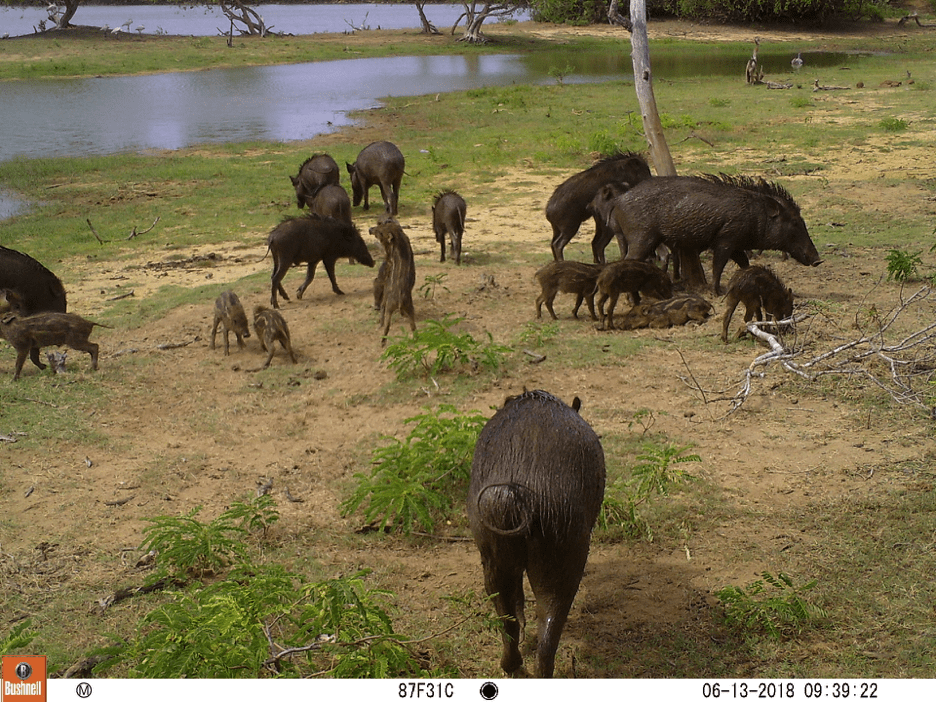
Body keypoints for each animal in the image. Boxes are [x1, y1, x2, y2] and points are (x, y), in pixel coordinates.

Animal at [468, 390, 605, 678]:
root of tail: (518, 495)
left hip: (495, 557)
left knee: (508, 615)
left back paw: (512, 665)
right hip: (562, 555)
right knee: (549, 623)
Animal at [617, 174, 821, 294]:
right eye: (795, 222)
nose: (818, 260)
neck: (755, 215)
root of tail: (619, 201)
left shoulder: (736, 245)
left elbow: (744, 263)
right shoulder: (725, 240)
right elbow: (719, 266)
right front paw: (717, 292)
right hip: (642, 238)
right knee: (627, 260)